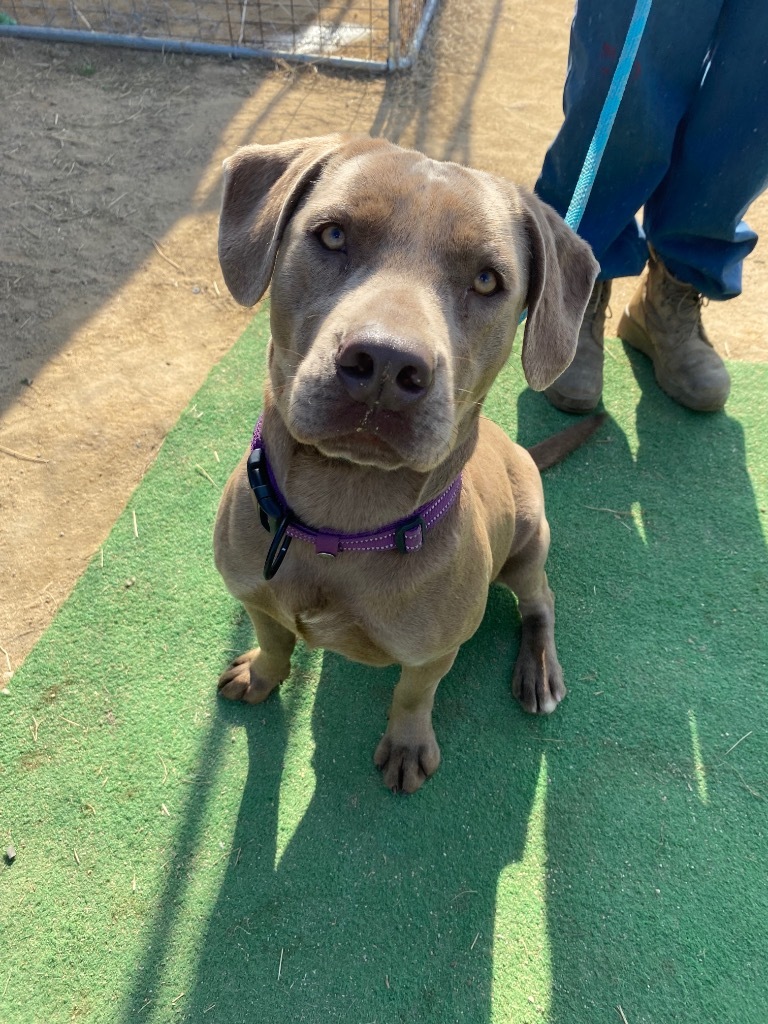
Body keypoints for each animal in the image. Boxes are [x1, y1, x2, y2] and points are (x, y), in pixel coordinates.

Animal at [211, 134, 602, 790]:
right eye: (333, 235)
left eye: (488, 279)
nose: (387, 364)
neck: (339, 524)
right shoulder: (256, 599)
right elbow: (275, 642)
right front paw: (262, 675)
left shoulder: (433, 651)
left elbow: (414, 694)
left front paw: (407, 744)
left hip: (527, 544)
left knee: (540, 600)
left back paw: (538, 668)